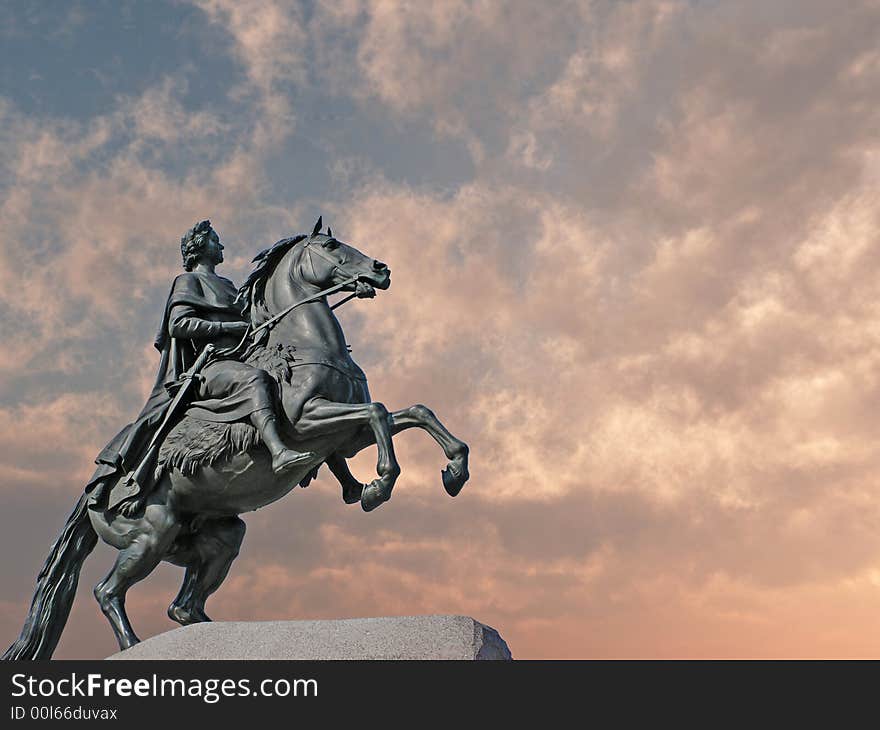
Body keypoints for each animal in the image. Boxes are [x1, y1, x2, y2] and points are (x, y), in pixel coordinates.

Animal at [3, 219, 470, 656]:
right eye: (331, 244)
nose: (380, 269)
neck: (303, 344)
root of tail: (94, 488)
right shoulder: (307, 423)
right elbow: (377, 414)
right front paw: (378, 485)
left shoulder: (345, 437)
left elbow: (413, 412)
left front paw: (453, 471)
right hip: (150, 535)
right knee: (108, 592)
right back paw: (133, 643)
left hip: (214, 537)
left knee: (182, 607)